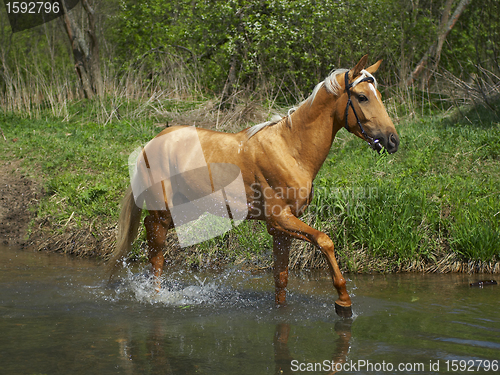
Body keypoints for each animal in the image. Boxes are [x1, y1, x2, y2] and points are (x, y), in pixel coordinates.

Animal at [108, 54, 398, 318]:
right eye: (362, 97)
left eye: (378, 94)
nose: (392, 141)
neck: (290, 149)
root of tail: (150, 143)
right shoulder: (280, 219)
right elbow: (325, 241)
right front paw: (343, 302)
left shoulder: (281, 230)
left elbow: (281, 279)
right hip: (163, 211)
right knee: (155, 251)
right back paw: (156, 296)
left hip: (185, 211)